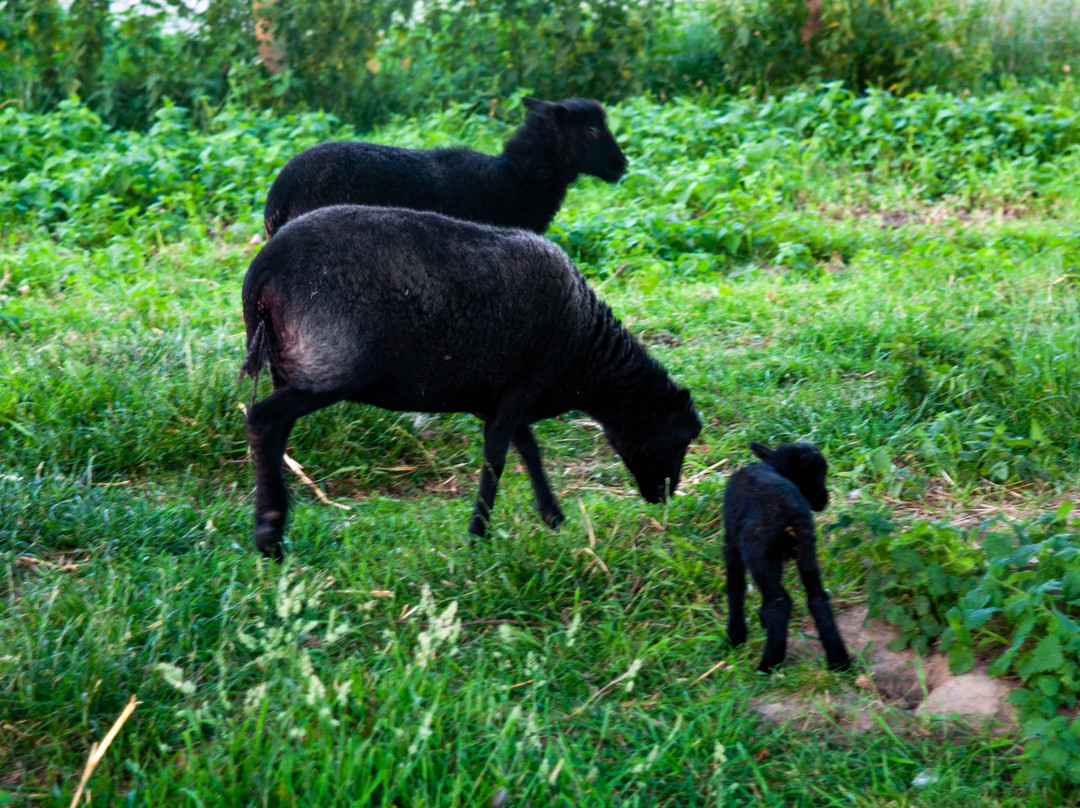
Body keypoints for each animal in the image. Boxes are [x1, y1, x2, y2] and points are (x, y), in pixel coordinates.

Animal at [238, 205, 699, 557]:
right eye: (680, 438)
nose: (666, 496)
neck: (584, 350)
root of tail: (262, 275)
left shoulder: (497, 396)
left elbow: (527, 449)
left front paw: (552, 516)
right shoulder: (522, 387)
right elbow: (496, 459)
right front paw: (479, 535)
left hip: (291, 363)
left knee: (276, 432)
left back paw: (273, 524)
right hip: (331, 368)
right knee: (263, 421)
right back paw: (269, 536)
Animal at [725, 438, 851, 674]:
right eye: (816, 474)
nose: (825, 499)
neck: (773, 467)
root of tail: (791, 512)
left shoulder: (732, 544)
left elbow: (735, 588)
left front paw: (736, 636)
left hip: (758, 553)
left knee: (779, 602)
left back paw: (768, 664)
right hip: (806, 548)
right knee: (817, 597)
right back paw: (839, 661)